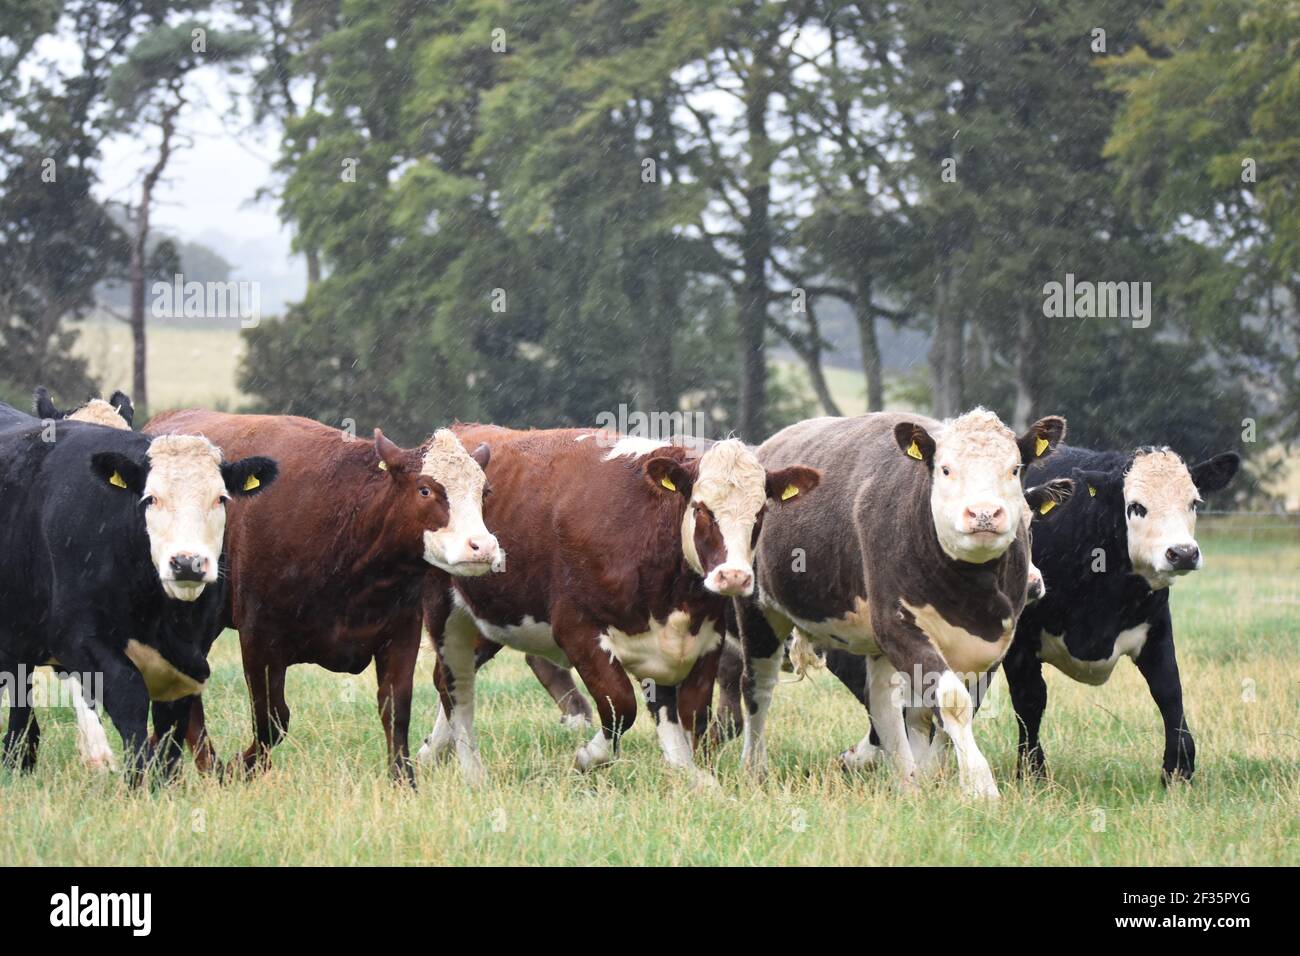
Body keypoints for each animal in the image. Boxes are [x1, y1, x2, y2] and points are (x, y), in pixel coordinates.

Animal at [0, 408, 277, 784]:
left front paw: (164, 777)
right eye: (151, 498)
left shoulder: (191, 652)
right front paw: (138, 778)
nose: (187, 563)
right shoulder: (78, 638)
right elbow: (126, 692)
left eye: (220, 498)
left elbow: (174, 714)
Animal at [143, 411, 501, 783]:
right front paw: (241, 766)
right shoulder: (258, 637)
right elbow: (272, 719)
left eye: (484, 492)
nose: (482, 546)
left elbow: (396, 711)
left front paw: (405, 782)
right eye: (426, 489)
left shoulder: (401, 632)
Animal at [417, 427, 819, 786]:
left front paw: (696, 778)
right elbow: (621, 706)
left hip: (490, 618)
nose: (733, 576)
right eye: (702, 509)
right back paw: (469, 769)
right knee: (454, 683)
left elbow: (689, 717)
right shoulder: (578, 630)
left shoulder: (704, 641)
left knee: (450, 679)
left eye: (759, 514)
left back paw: (431, 751)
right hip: (444, 612)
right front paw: (586, 757)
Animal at [734, 408, 1065, 799]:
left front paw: (931, 775)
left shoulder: (995, 646)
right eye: (946, 469)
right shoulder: (899, 625)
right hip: (759, 610)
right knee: (758, 687)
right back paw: (753, 770)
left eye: (1014, 469)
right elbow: (951, 701)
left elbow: (949, 708)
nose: (983, 514)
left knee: (883, 703)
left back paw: (908, 782)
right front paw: (980, 787)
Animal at [1003, 444, 1240, 784]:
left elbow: (1169, 690)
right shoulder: (1018, 641)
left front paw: (1178, 768)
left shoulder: (1156, 628)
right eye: (1136, 507)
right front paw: (1032, 772)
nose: (1183, 553)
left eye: (1194, 502)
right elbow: (1030, 700)